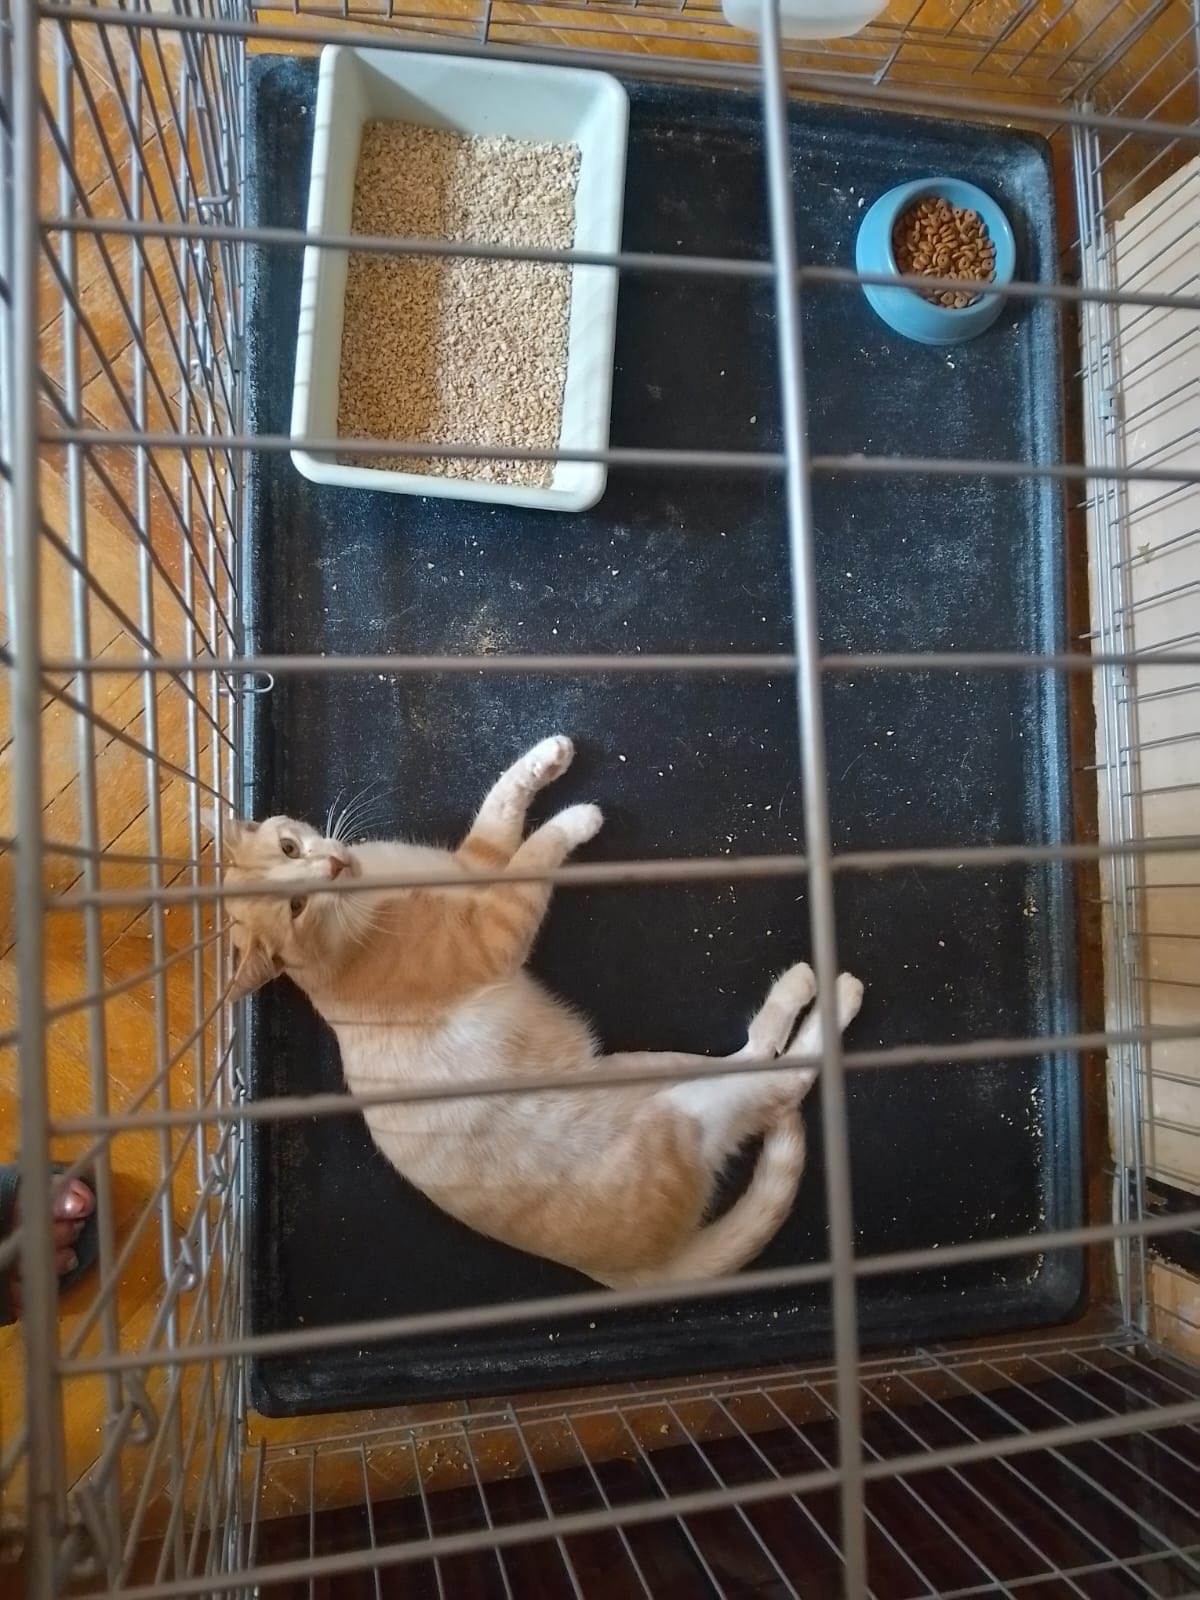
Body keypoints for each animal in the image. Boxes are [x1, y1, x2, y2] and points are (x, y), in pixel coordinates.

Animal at [222, 736, 864, 1287]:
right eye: (297, 906)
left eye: (289, 848)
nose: (330, 867)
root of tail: (633, 1273)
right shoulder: (494, 930)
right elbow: (533, 854)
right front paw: (576, 819)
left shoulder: (474, 867)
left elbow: (501, 809)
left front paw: (546, 759)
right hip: (690, 1112)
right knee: (785, 1083)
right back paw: (835, 993)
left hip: (647, 1067)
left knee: (757, 1054)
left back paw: (795, 991)